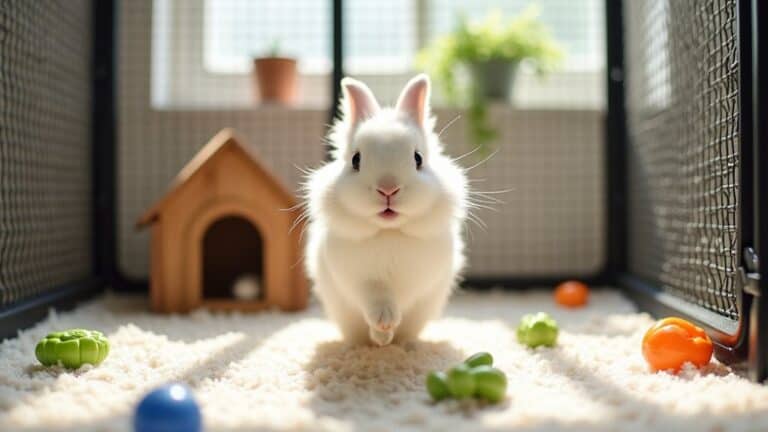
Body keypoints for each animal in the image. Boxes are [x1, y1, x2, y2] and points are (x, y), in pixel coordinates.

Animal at [303, 74, 468, 346]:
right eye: (356, 160)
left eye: (418, 158)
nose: (388, 189)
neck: (389, 231)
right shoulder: (358, 279)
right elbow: (376, 297)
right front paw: (383, 327)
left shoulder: (418, 281)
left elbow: (403, 300)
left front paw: (386, 334)